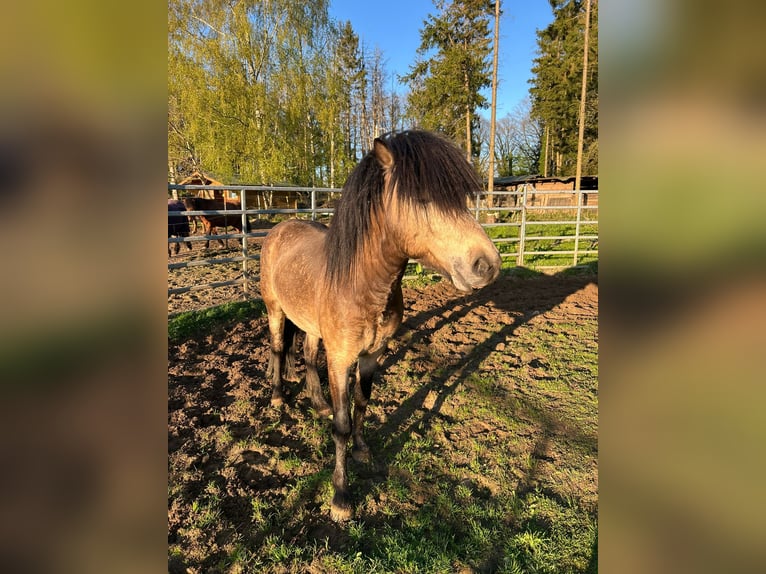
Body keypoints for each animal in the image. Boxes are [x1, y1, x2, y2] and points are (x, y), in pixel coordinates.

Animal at [260, 130, 502, 521]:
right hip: (275, 311)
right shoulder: (340, 360)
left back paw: (318, 403)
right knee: (279, 348)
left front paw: (362, 449)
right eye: (422, 198)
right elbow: (341, 425)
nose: (487, 265)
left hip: (309, 324)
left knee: (308, 355)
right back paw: (280, 398)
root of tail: (279, 227)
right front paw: (341, 497)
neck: (361, 286)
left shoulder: (373, 354)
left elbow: (362, 403)